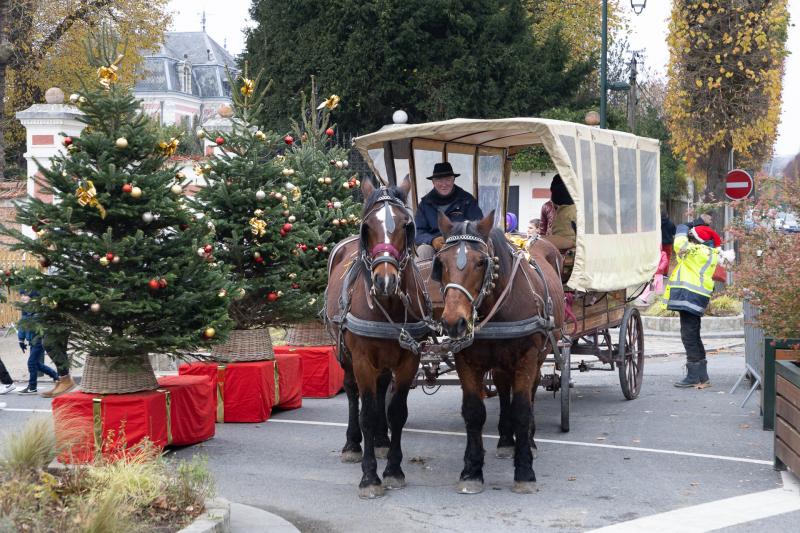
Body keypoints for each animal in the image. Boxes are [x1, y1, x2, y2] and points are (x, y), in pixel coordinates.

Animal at [324, 176, 432, 498]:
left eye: (407, 226)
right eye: (367, 227)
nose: (385, 281)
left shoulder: (409, 359)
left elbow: (397, 411)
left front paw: (394, 469)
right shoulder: (361, 360)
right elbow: (368, 414)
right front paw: (370, 476)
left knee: (383, 387)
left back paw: (383, 441)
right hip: (343, 352)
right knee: (352, 392)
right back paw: (351, 444)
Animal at [432, 210, 564, 492]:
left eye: (481, 262)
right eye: (441, 262)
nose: (454, 322)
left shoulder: (526, 358)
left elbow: (522, 409)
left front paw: (524, 470)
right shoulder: (466, 360)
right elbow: (474, 412)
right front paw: (472, 471)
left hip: (540, 354)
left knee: (531, 391)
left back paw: (529, 441)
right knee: (504, 390)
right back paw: (505, 440)